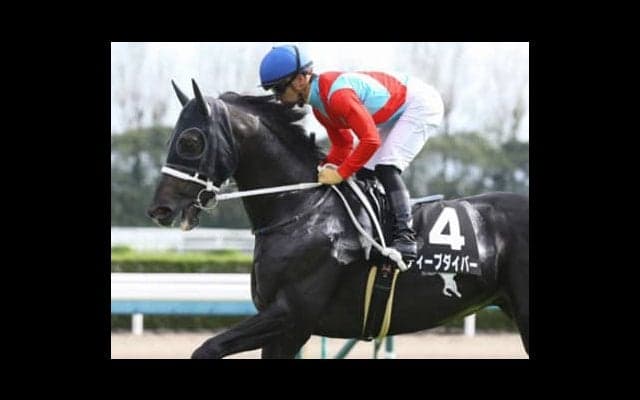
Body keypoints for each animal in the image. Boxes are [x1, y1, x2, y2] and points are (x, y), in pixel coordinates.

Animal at [147, 79, 529, 359]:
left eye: (190, 140)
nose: (159, 209)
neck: (303, 209)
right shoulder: (284, 329)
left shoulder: (292, 314)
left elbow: (207, 348)